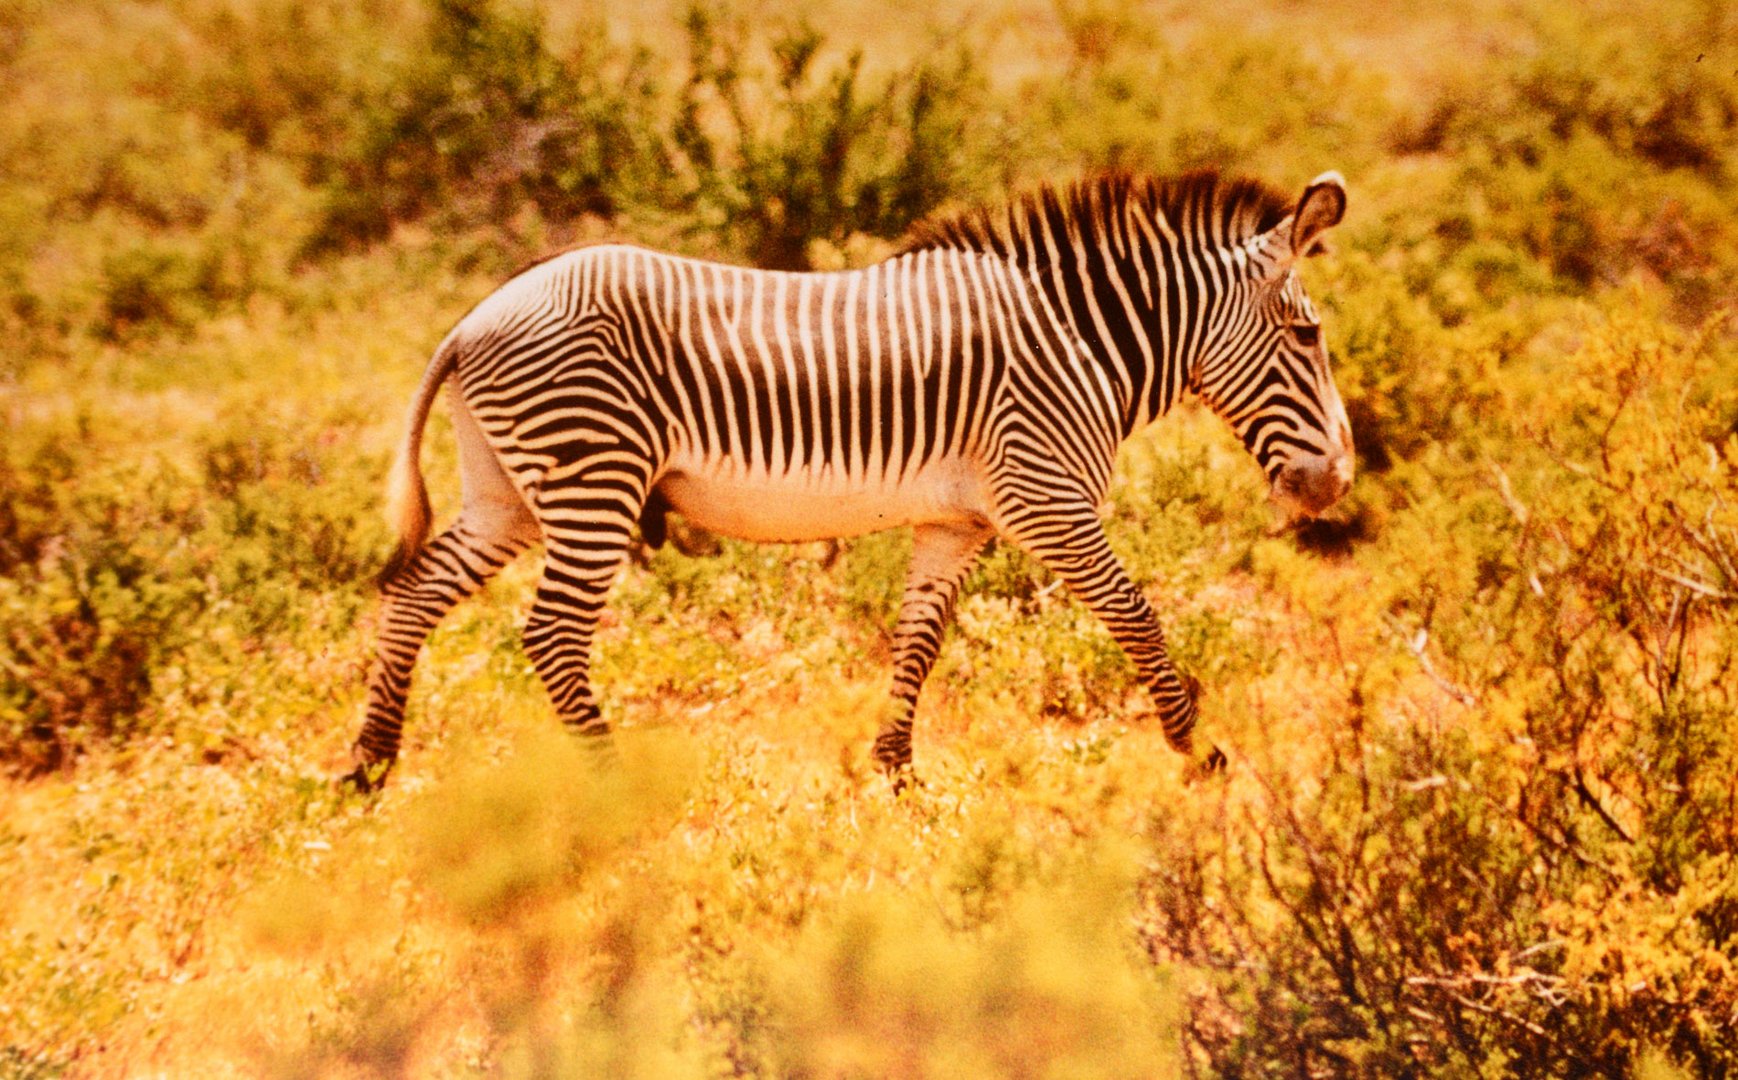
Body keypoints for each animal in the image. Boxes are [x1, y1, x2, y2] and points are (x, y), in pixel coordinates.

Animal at [338, 170, 1348, 793]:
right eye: (1307, 335)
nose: (1335, 483)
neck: (1082, 342)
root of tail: (474, 317)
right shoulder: (1046, 497)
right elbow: (1136, 614)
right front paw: (1200, 750)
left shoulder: (959, 522)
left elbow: (919, 641)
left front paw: (896, 770)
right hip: (593, 479)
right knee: (551, 634)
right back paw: (612, 783)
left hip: (504, 494)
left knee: (413, 594)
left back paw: (368, 767)